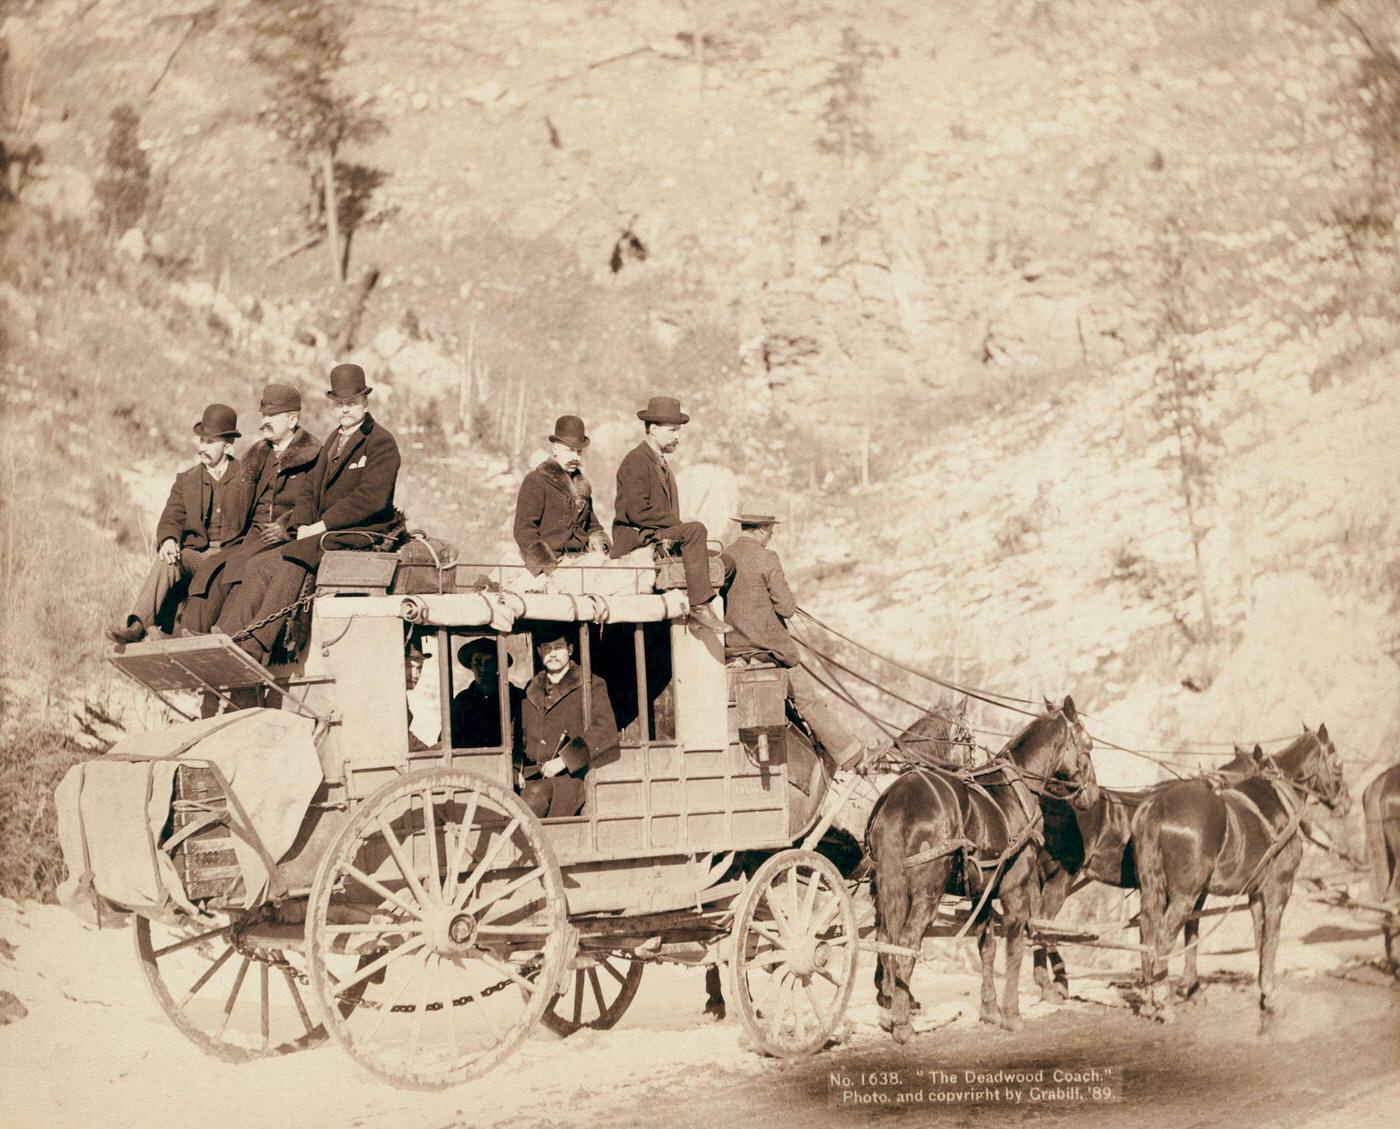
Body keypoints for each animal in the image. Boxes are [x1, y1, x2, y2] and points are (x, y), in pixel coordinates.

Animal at [868, 694, 1097, 1047]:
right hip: (926, 895)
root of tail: (896, 800)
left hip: (885, 890)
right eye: (1087, 743)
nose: (1092, 794)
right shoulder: (1015, 891)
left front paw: (989, 1009)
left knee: (884, 943)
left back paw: (890, 1010)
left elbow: (986, 947)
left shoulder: (982, 894)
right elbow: (1014, 948)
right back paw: (903, 1026)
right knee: (905, 946)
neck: (1016, 790)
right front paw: (1012, 1015)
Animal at [1131, 722, 1349, 1036]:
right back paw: (1163, 1002)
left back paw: (1150, 1001)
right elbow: (1271, 940)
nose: (1346, 803)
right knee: (1162, 938)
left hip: (1151, 891)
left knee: (1147, 933)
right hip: (1183, 896)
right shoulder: (1278, 889)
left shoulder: (1254, 893)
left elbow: (1258, 940)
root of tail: (1158, 807)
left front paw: (1262, 993)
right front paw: (1270, 996)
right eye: (1338, 762)